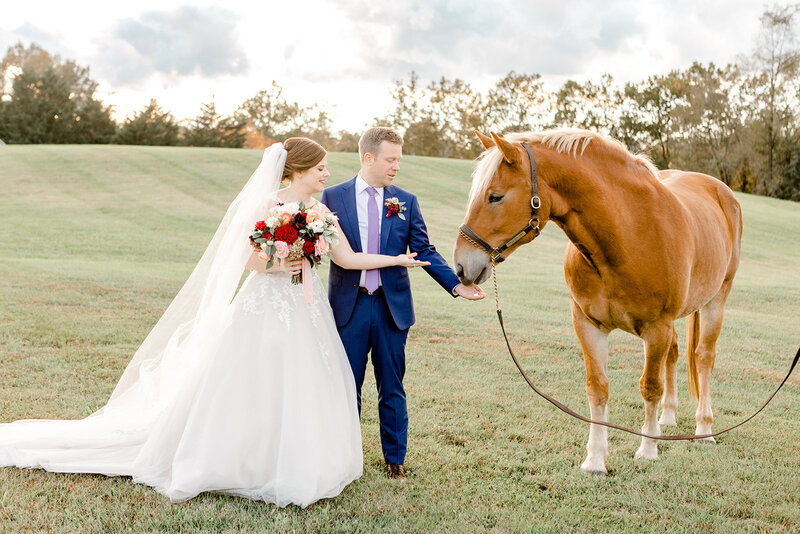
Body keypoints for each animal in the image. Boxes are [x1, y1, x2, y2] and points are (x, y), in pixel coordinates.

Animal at [454, 127, 740, 476]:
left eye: (495, 196)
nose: (461, 266)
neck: (628, 234)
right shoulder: (588, 325)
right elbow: (597, 387)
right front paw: (595, 459)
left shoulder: (656, 328)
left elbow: (650, 386)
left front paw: (647, 450)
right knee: (673, 355)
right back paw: (668, 417)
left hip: (716, 300)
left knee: (703, 358)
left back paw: (703, 428)